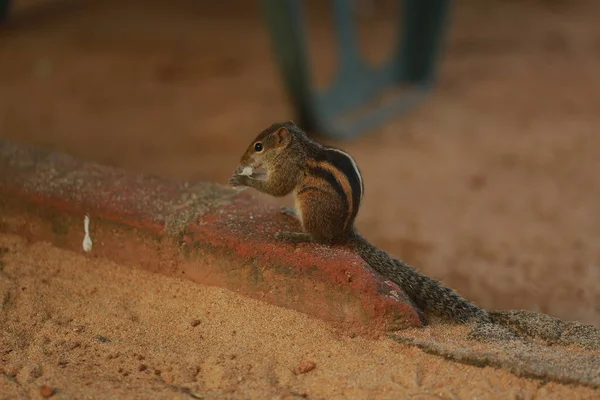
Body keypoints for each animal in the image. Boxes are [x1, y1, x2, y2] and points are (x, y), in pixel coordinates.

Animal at [227, 120, 490, 324]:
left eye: (258, 147)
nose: (241, 159)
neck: (298, 148)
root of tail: (345, 231)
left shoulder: (287, 170)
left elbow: (276, 188)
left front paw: (243, 178)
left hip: (309, 201)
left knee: (320, 239)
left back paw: (294, 235)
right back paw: (291, 214)